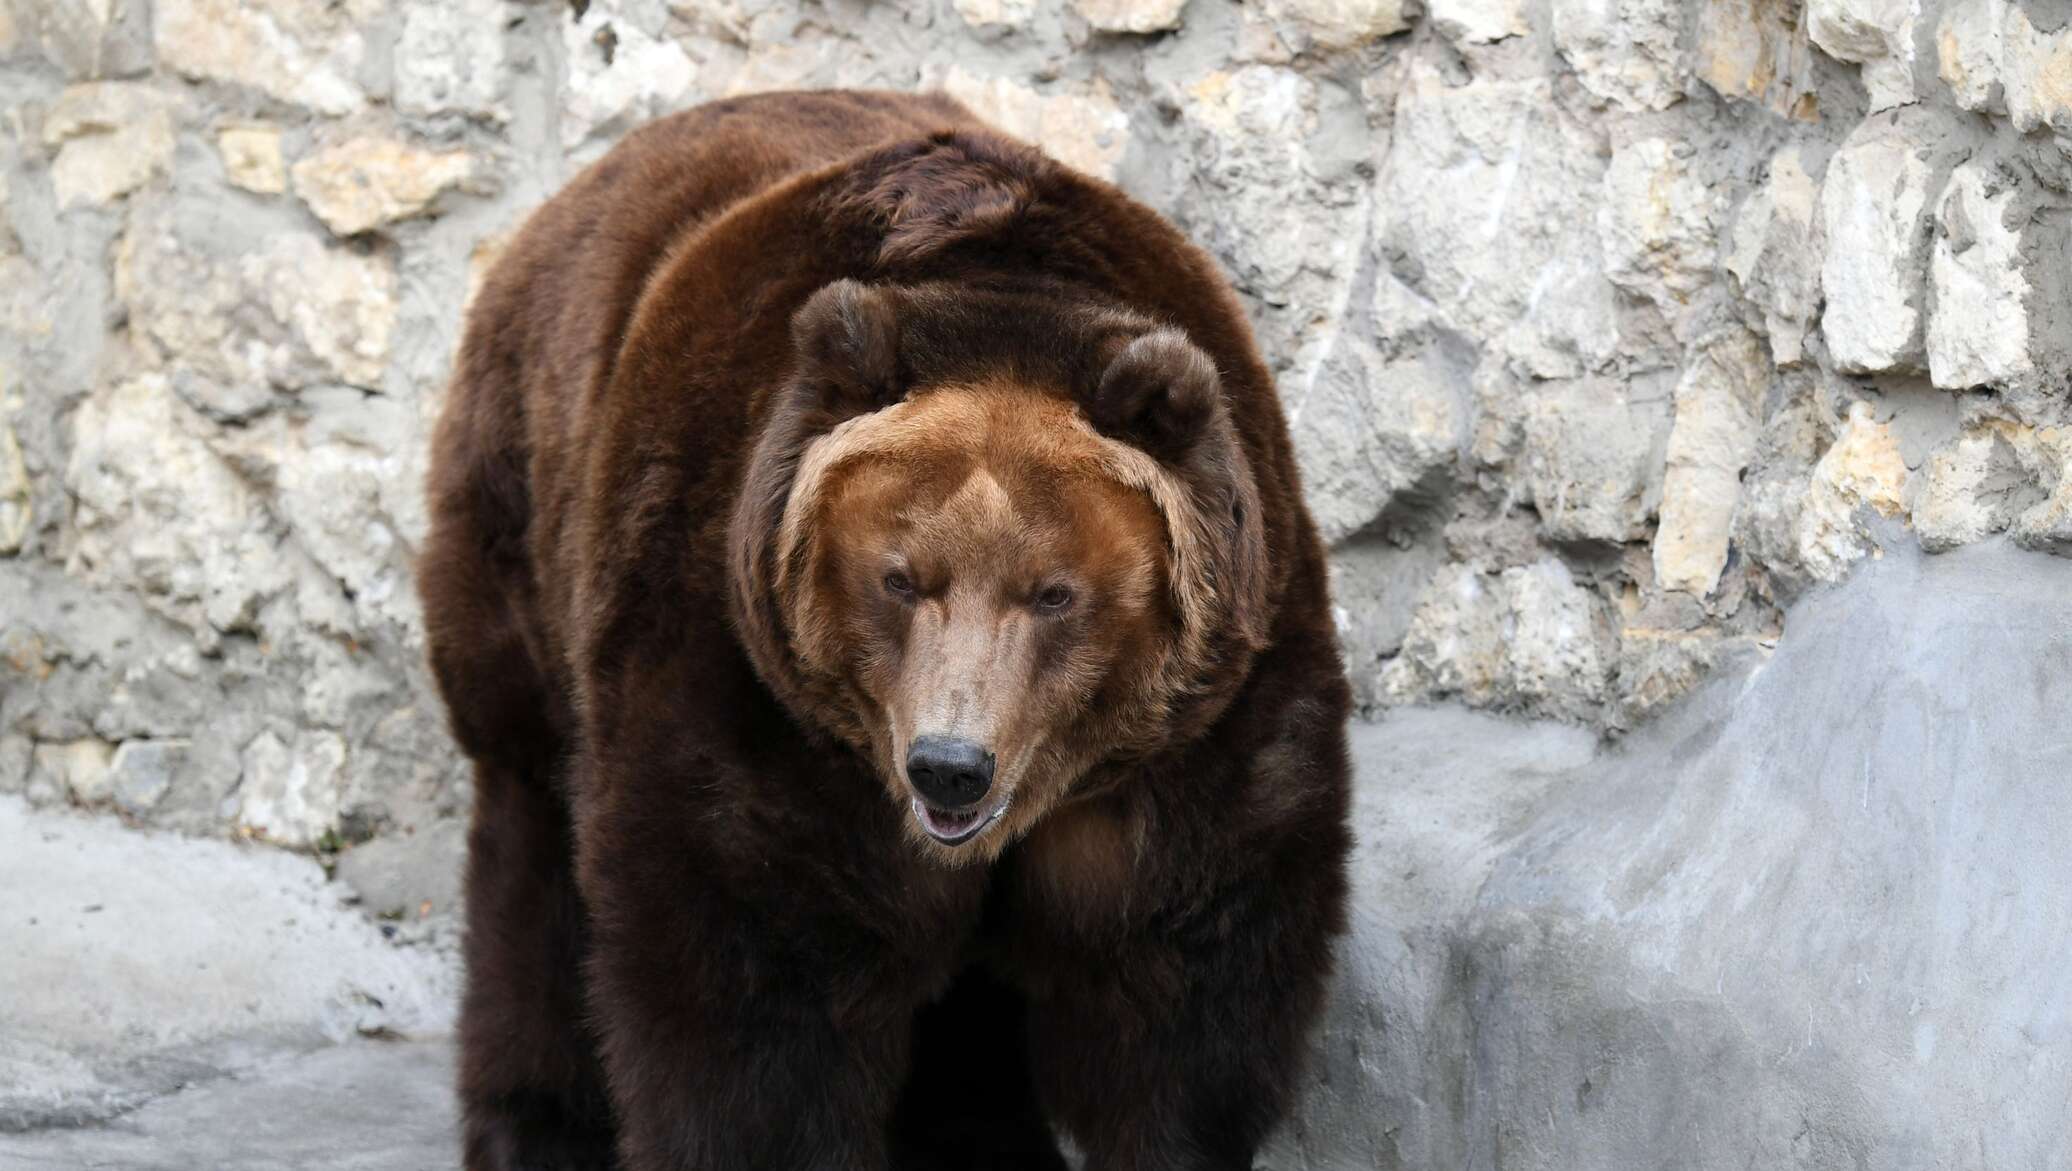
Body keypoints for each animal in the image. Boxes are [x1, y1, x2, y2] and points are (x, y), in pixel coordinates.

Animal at [422, 91, 1359, 1168]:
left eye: (1053, 593)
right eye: (900, 578)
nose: (950, 766)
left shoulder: (1200, 725)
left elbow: (1181, 987)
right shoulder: (755, 689)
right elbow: (754, 985)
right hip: (527, 535)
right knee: (532, 843)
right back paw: (533, 1126)